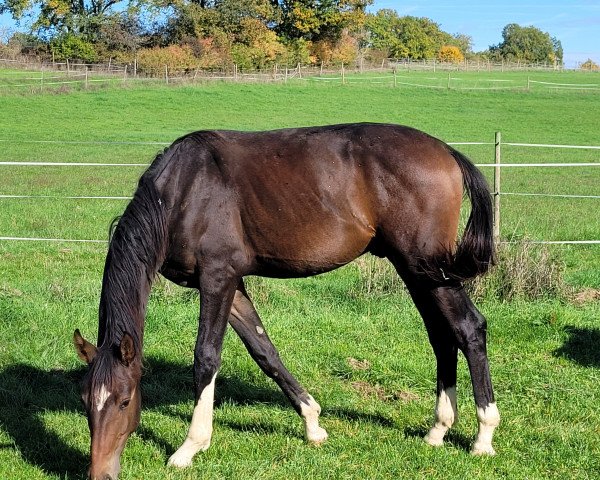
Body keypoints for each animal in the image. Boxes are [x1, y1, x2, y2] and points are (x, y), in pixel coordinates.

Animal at [72, 124, 500, 480]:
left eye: (125, 401)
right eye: (86, 401)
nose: (100, 474)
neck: (183, 190)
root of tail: (446, 151)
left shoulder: (217, 279)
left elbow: (206, 356)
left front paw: (189, 447)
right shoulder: (234, 286)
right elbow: (265, 352)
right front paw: (313, 424)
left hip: (427, 268)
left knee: (469, 328)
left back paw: (483, 435)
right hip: (418, 273)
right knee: (442, 336)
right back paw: (438, 429)